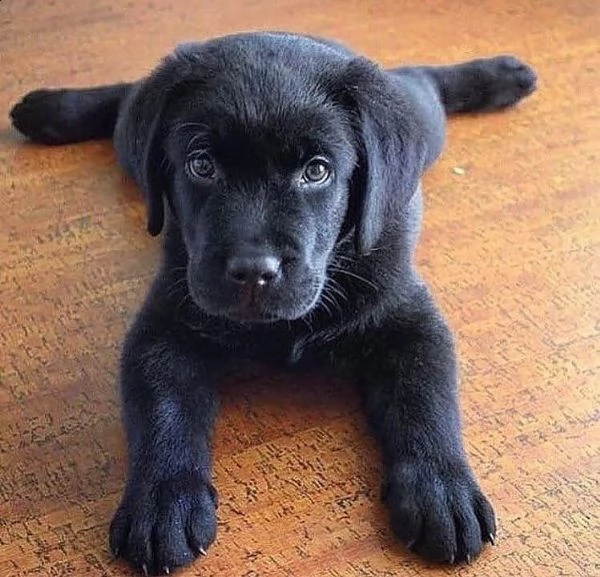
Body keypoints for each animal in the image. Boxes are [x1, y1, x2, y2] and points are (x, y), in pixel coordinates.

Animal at [9, 32, 536, 576]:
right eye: (202, 166)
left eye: (317, 171)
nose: (253, 270)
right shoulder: (165, 325)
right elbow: (163, 408)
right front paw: (162, 503)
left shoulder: (408, 316)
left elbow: (425, 397)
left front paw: (443, 491)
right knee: (127, 96)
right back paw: (47, 109)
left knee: (421, 76)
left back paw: (503, 77)